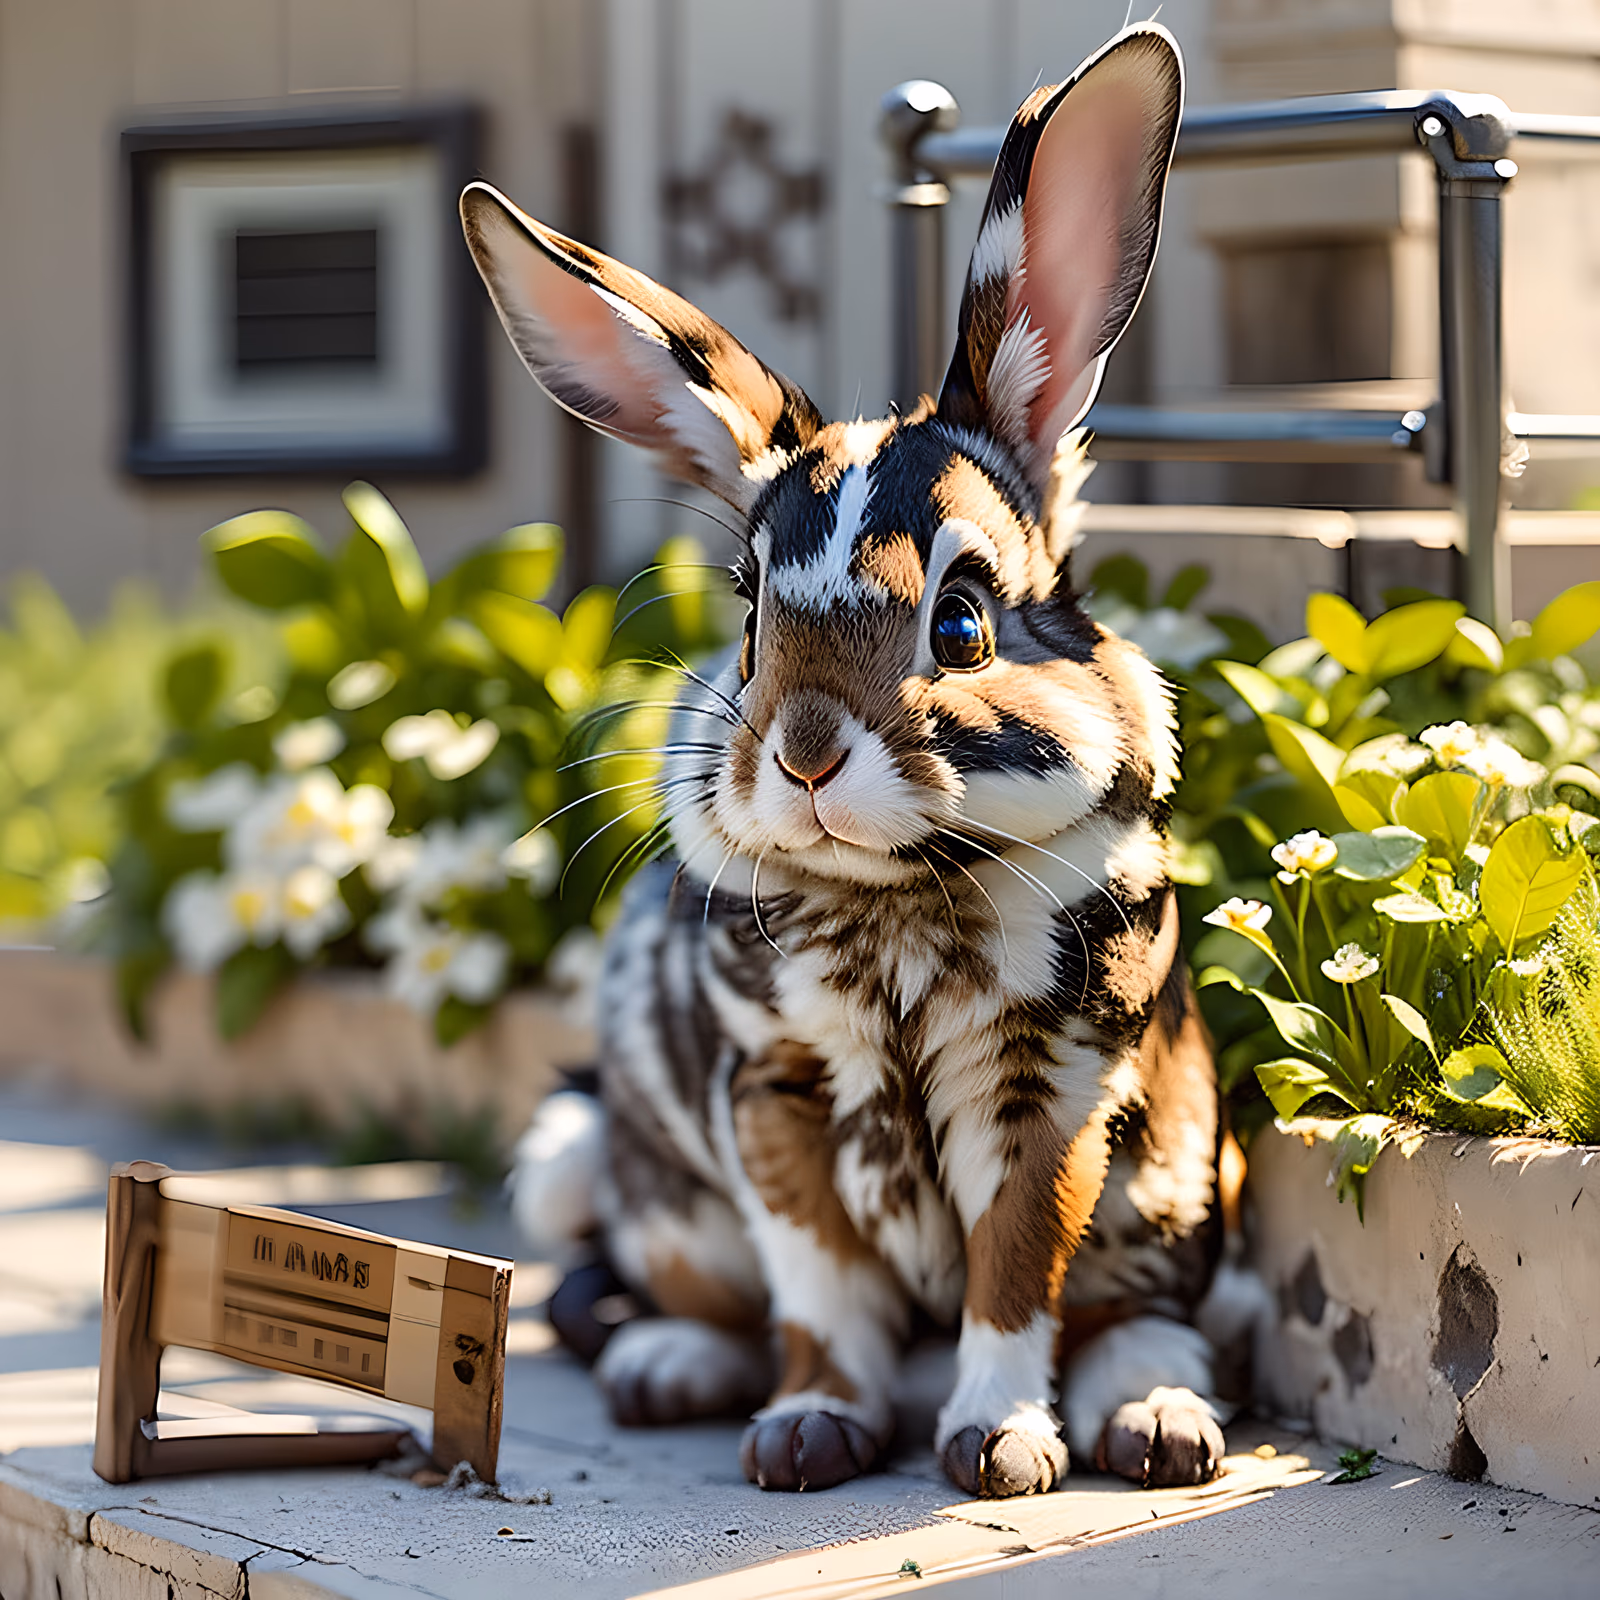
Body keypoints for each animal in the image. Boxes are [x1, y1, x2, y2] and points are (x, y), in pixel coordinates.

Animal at [464, 23, 1234, 1499]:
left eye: (964, 617)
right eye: (748, 617)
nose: (808, 755)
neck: (897, 905)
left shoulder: (1048, 1091)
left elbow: (1013, 1274)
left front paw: (998, 1445)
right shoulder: (774, 1096)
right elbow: (818, 1286)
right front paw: (808, 1430)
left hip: (1176, 1181)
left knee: (1149, 1317)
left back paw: (1162, 1426)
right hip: (602, 1166)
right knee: (663, 1286)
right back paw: (669, 1371)